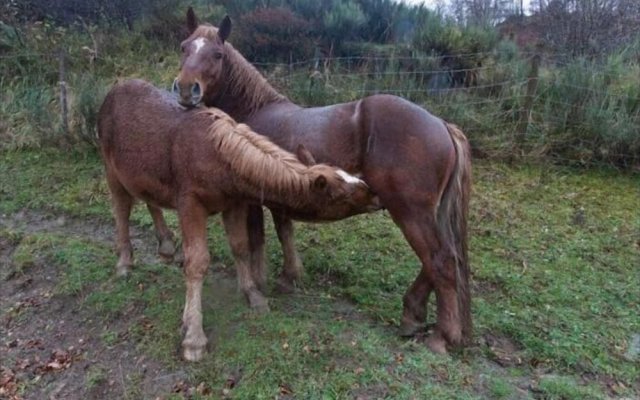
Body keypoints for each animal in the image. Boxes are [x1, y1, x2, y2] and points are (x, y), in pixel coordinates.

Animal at [96, 78, 380, 360]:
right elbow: (197, 262)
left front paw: (253, 295)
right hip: (112, 171)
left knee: (149, 200)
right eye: (342, 195)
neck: (220, 160)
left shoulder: (233, 205)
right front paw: (193, 336)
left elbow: (241, 247)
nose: (376, 196)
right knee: (121, 210)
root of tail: (114, 90)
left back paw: (166, 246)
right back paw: (124, 263)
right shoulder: (190, 205)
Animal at [172, 10, 472, 354]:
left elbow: (256, 238)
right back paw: (413, 315)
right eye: (184, 47)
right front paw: (289, 277)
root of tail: (443, 125)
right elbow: (284, 231)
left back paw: (442, 336)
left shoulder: (252, 199)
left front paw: (259, 285)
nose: (186, 90)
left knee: (441, 261)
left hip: (410, 211)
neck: (255, 110)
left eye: (217, 54)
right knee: (441, 259)